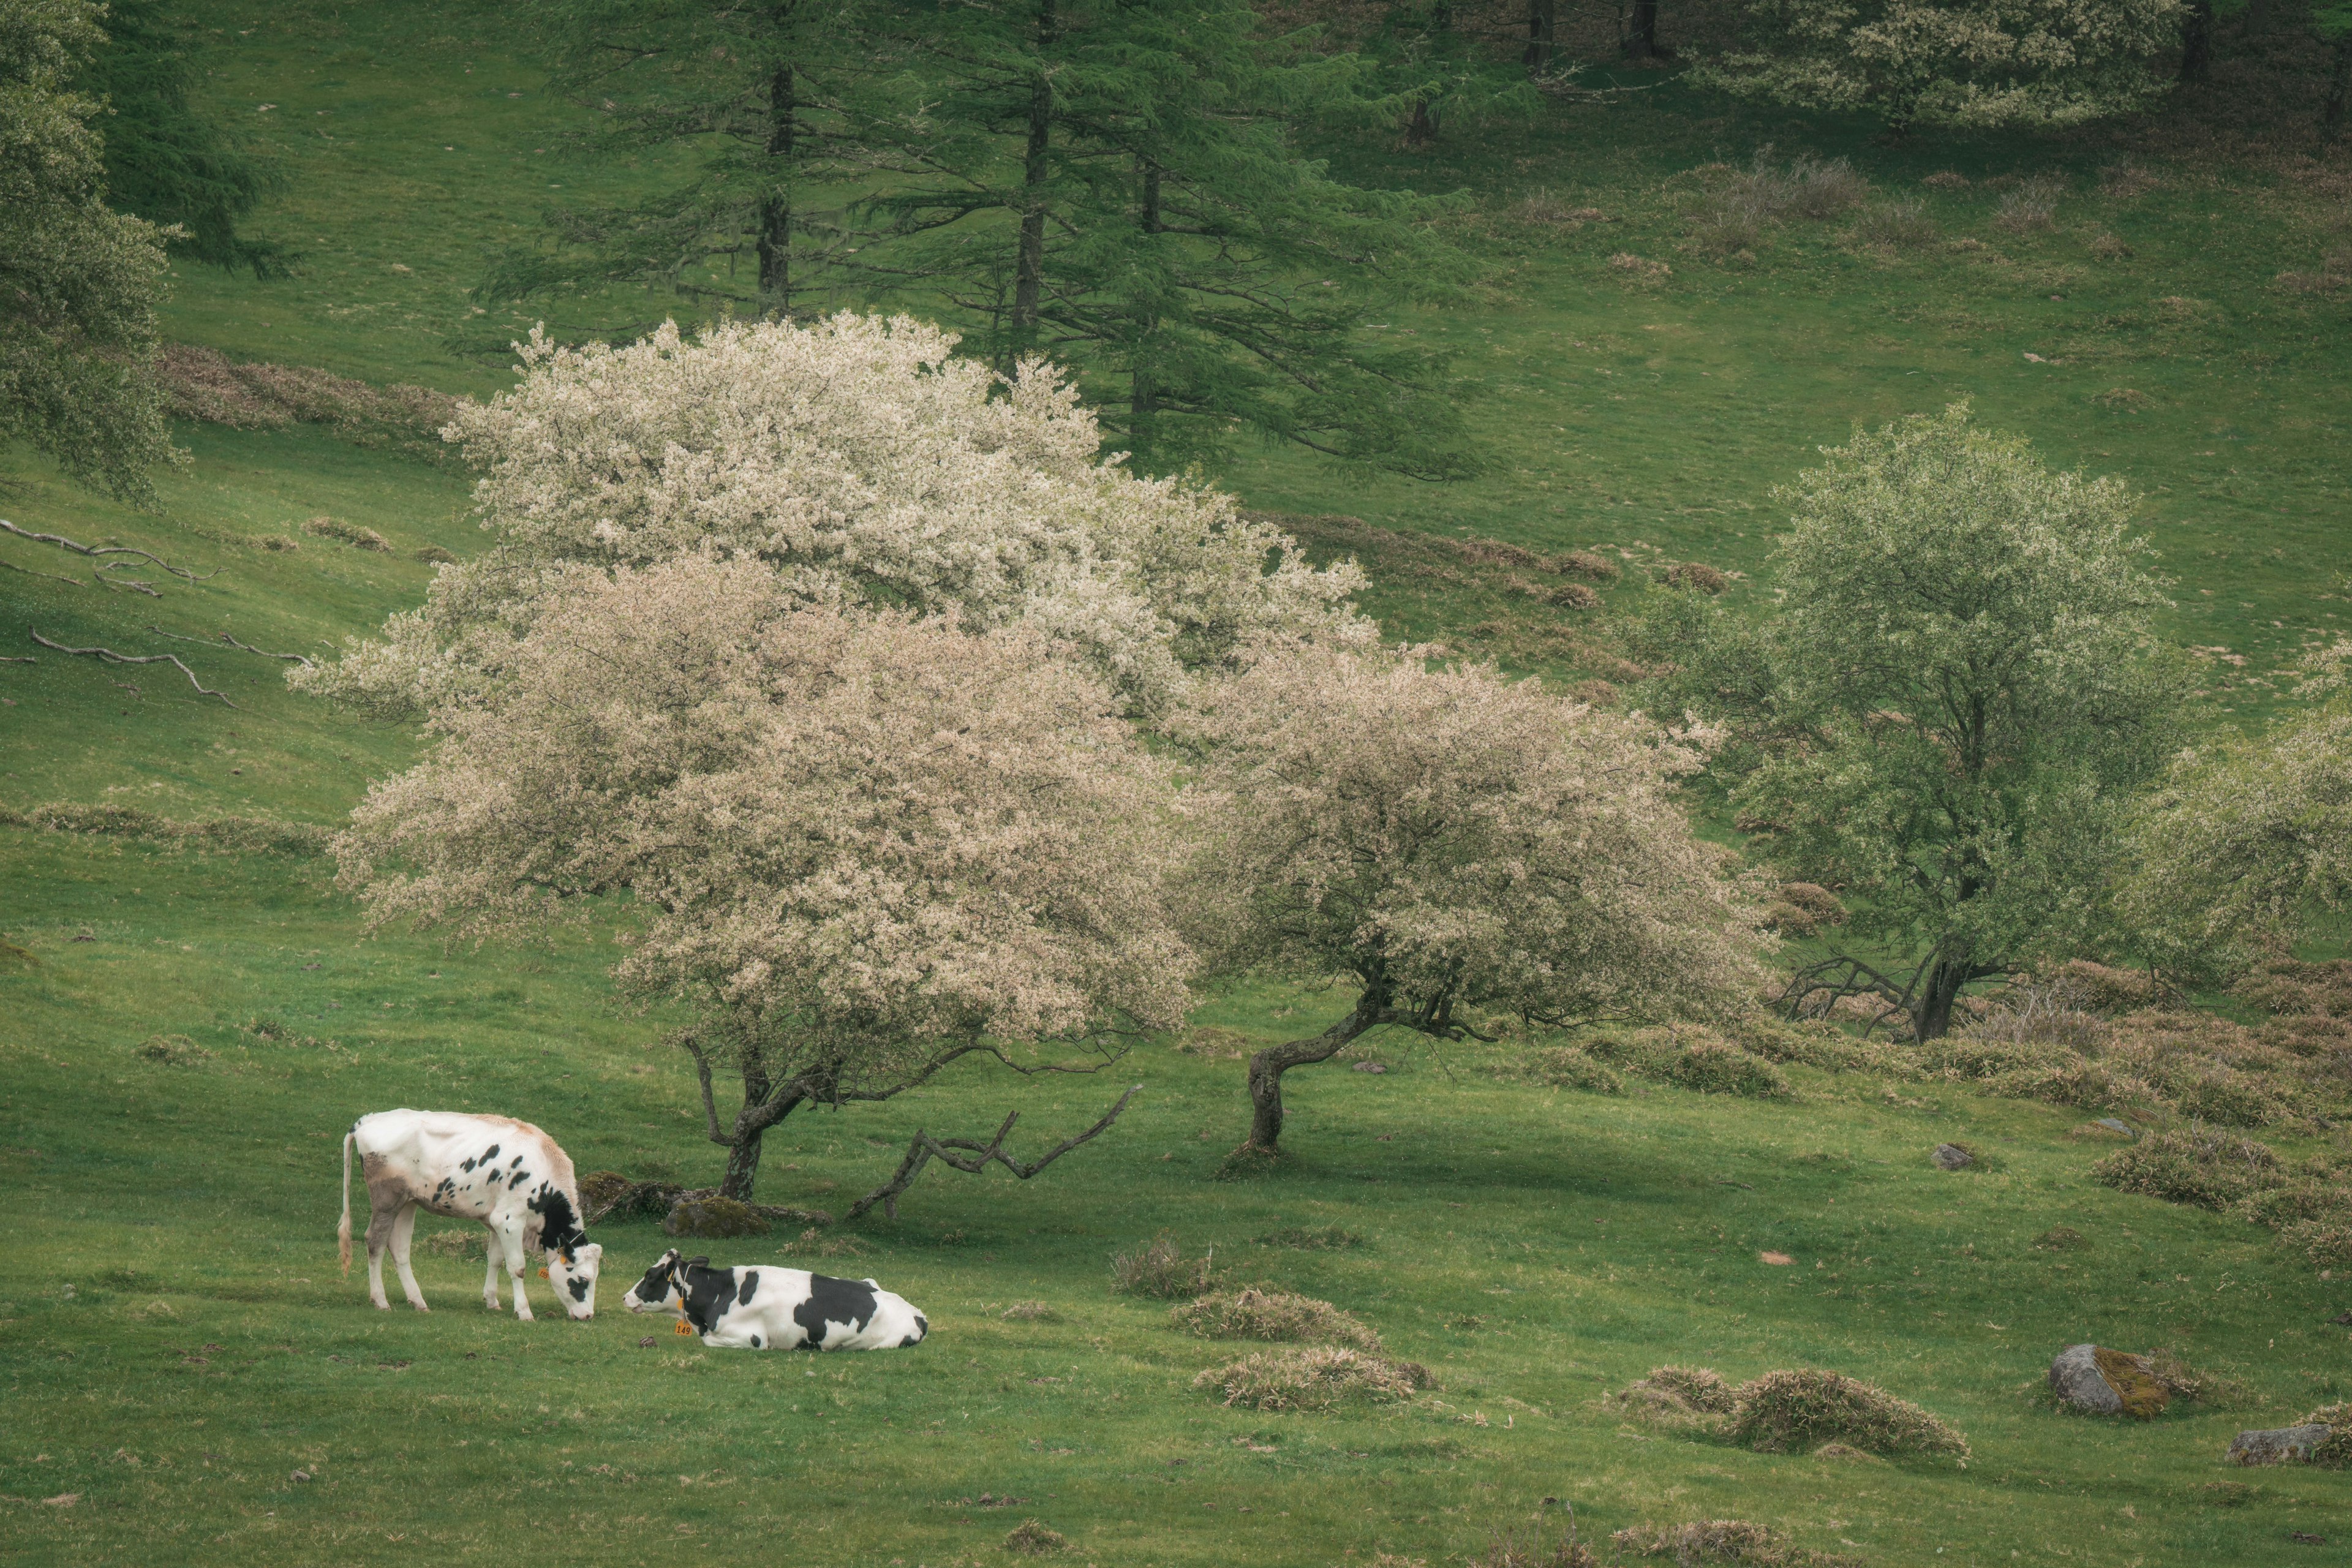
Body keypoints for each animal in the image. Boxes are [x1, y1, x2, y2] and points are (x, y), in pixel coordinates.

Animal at [338, 1109, 602, 1316]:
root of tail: (367, 1121)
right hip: (387, 1199)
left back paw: (419, 1301)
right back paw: (381, 1300)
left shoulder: (497, 1221)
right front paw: (524, 1311)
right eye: (583, 1280)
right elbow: (517, 1267)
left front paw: (492, 1301)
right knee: (375, 1241)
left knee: (400, 1249)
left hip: (407, 1202)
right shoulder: (510, 1220)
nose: (588, 1316)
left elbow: (495, 1260)